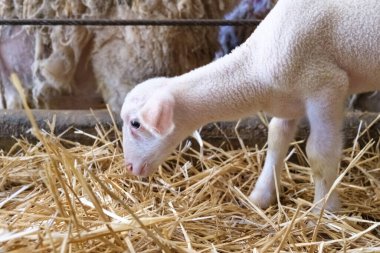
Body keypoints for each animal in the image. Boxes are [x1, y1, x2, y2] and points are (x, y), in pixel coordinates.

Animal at [119, 0, 380, 211]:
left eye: (136, 124)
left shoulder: (326, 86)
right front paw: (260, 197)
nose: (129, 167)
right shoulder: (288, 100)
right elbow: (276, 139)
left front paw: (323, 211)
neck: (254, 68)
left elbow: (320, 154)